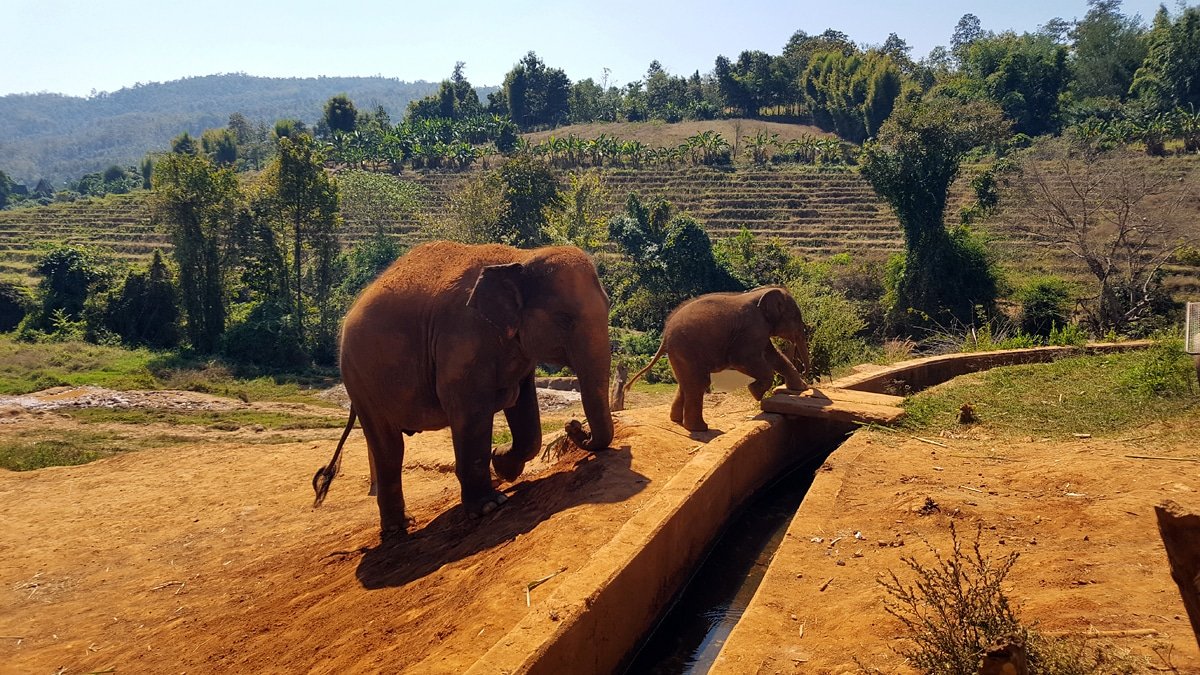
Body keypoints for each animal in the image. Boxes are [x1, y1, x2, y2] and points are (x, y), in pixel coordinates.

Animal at [312, 241, 614, 538]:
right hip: (362, 381)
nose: (573, 426)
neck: (519, 257)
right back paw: (399, 528)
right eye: (564, 319)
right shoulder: (461, 338)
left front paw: (502, 466)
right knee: (389, 448)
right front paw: (490, 506)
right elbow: (471, 413)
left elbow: (525, 413)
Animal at [626, 286, 812, 432]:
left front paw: (800, 388)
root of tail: (664, 335)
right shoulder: (752, 328)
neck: (761, 292)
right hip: (686, 349)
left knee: (686, 384)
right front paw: (756, 393)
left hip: (680, 353)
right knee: (698, 384)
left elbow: (773, 355)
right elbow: (742, 359)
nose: (805, 373)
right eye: (796, 318)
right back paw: (700, 428)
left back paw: (677, 421)